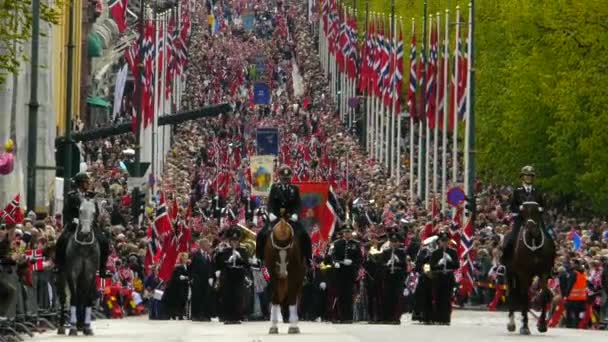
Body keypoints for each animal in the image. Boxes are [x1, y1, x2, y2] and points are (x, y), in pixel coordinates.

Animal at [506, 202, 552, 336]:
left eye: (537, 212)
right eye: (524, 213)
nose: (533, 231)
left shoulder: (544, 272)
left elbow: (544, 295)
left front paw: (542, 325)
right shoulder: (523, 273)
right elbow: (525, 296)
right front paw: (525, 326)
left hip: (529, 277)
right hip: (510, 274)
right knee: (512, 293)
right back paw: (512, 323)